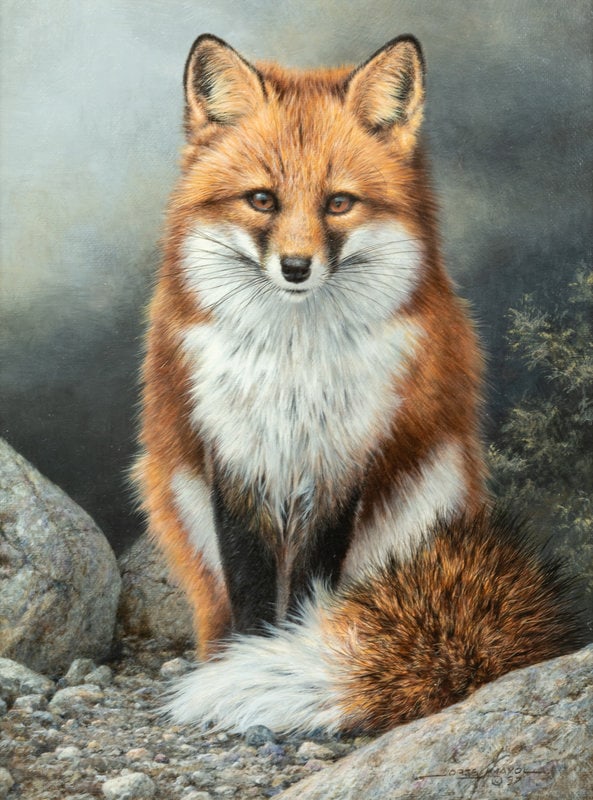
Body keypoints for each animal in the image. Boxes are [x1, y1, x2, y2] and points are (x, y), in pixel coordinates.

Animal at [134, 33, 585, 735]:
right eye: (262, 200)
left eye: (338, 202)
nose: (295, 268)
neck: (294, 367)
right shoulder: (234, 457)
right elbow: (249, 582)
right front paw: (249, 656)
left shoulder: (343, 461)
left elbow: (311, 584)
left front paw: (279, 652)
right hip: (172, 491)